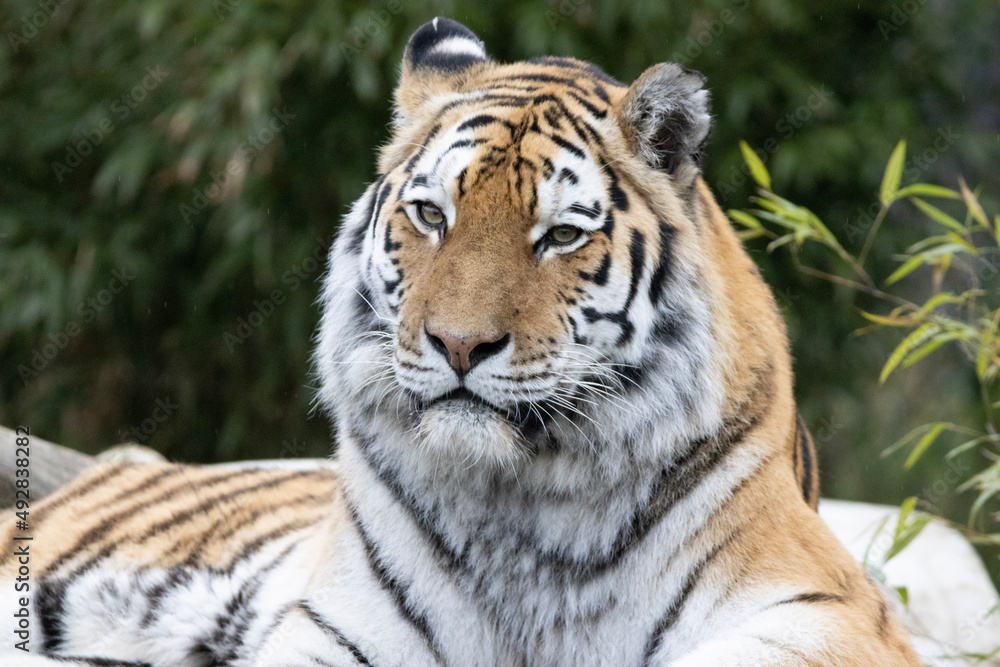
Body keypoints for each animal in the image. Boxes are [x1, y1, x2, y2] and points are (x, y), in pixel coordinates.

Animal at [1, 17, 919, 667]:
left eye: (560, 234)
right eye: (431, 215)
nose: (458, 344)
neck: (522, 500)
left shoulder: (829, 608)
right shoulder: (340, 623)